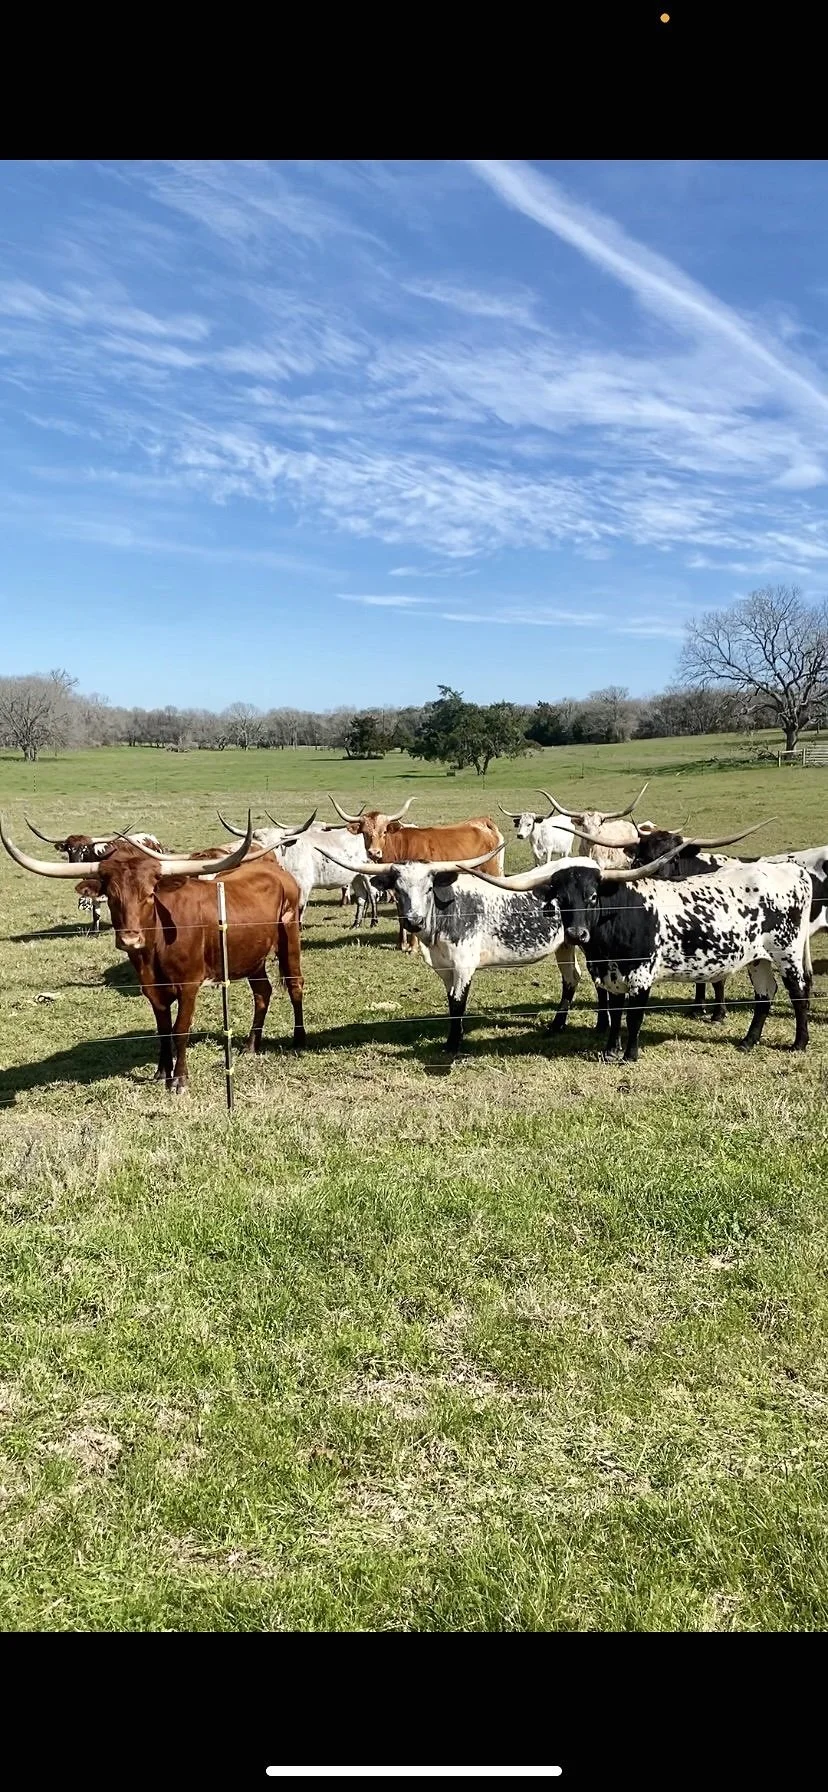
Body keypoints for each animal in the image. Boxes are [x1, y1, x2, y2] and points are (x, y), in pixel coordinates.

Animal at [24, 817, 166, 934]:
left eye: (84, 849)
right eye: (69, 849)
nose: (75, 864)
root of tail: (152, 838)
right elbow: (95, 912)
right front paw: (94, 931)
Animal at [315, 843, 597, 1053]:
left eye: (429, 888)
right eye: (398, 889)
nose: (414, 921)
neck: (447, 910)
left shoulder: (463, 965)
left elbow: (459, 1002)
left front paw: (453, 1044)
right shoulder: (444, 968)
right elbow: (451, 1003)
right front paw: (454, 1038)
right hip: (565, 945)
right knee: (572, 978)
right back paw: (557, 1025)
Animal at [327, 796, 505, 952]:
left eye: (384, 832)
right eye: (364, 832)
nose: (374, 853)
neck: (401, 847)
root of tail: (484, 821)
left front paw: (413, 947)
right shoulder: (397, 892)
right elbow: (401, 915)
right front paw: (401, 944)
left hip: (493, 872)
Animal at [470, 827, 813, 1061]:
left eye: (592, 897)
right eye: (561, 900)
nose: (577, 935)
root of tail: (792, 870)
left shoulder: (641, 973)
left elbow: (634, 1016)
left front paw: (629, 1054)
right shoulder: (608, 974)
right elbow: (615, 1013)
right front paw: (610, 1050)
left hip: (788, 953)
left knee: (798, 993)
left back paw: (799, 1042)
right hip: (758, 958)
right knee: (765, 995)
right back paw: (748, 1041)